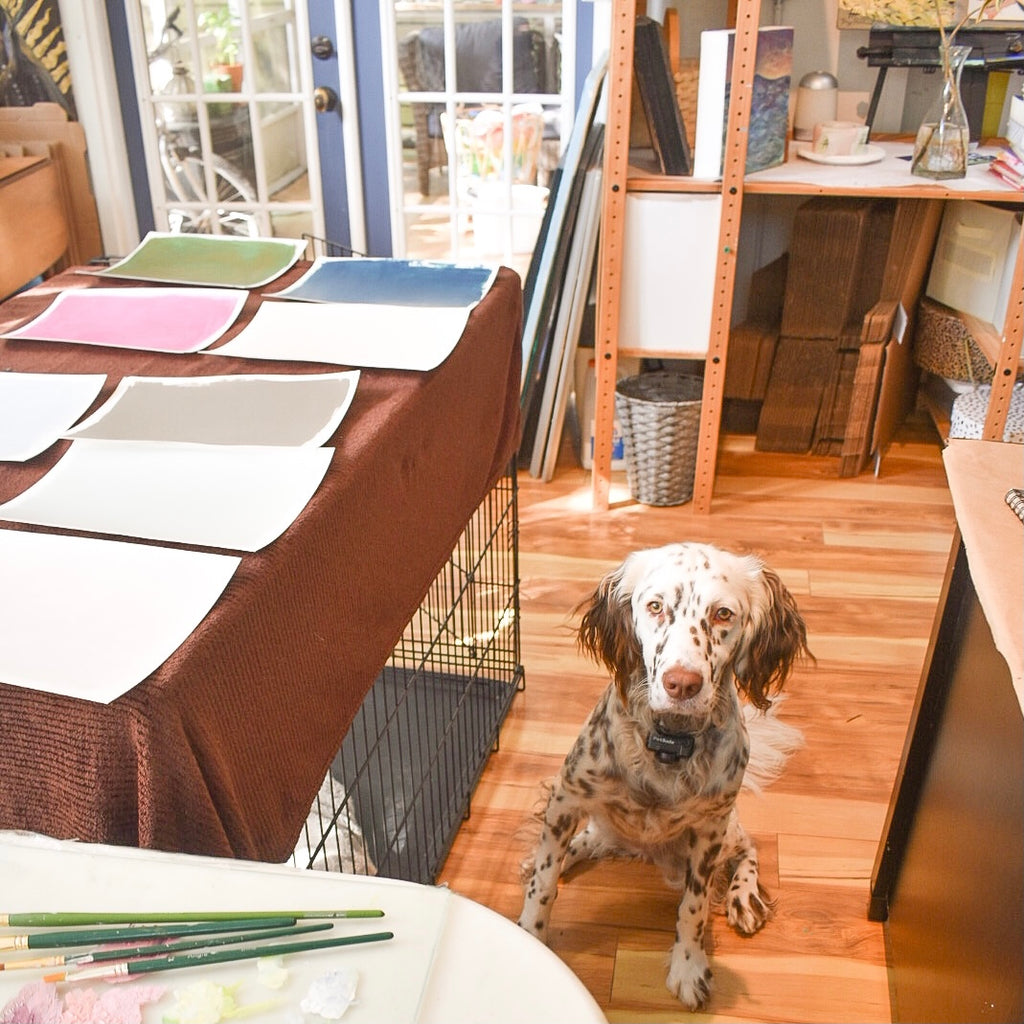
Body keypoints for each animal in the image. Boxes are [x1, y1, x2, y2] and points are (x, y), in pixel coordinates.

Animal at [516, 544, 811, 1007]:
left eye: (723, 614)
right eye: (654, 606)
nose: (682, 684)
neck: (668, 743)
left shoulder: (710, 829)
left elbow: (694, 906)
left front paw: (688, 966)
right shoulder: (569, 794)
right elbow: (543, 883)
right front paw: (530, 934)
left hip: (727, 831)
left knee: (748, 848)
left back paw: (743, 897)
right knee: (590, 839)